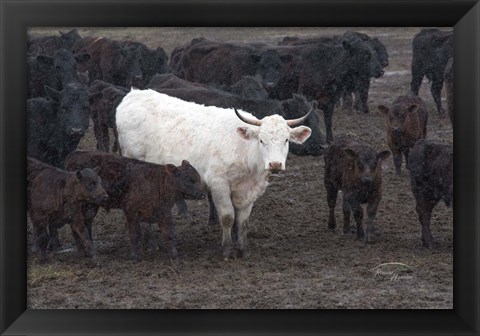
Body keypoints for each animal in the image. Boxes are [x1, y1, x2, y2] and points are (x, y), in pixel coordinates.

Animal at [63, 150, 204, 262]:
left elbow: (169, 233)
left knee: (86, 224)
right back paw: (83, 251)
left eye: (198, 178)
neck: (156, 182)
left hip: (91, 206)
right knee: (78, 226)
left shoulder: (163, 212)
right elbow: (135, 234)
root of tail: (74, 154)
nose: (202, 193)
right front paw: (135, 257)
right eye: (191, 180)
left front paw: (174, 255)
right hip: (84, 206)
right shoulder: (131, 212)